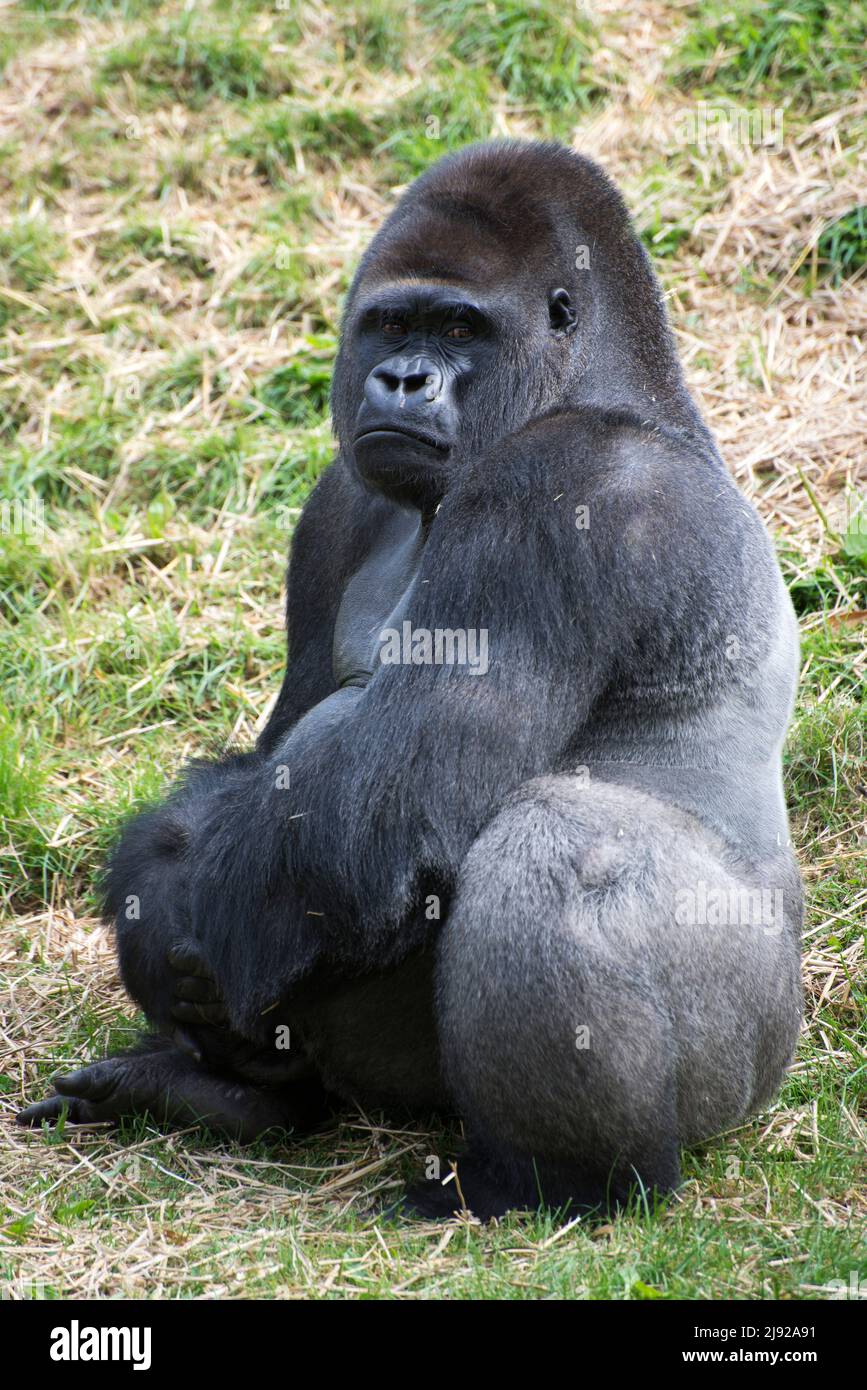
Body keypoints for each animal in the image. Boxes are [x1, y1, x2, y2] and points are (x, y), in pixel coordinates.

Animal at [18, 146, 805, 1223]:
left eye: (460, 329)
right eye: (392, 326)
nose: (403, 378)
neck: (600, 389)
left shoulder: (558, 488)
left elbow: (392, 803)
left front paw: (167, 923)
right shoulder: (338, 506)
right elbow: (274, 760)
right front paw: (154, 887)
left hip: (747, 1052)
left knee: (553, 842)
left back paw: (561, 1178)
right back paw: (234, 1095)